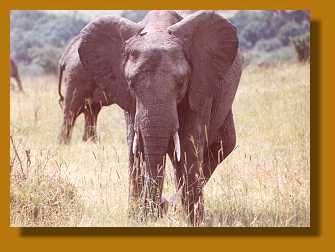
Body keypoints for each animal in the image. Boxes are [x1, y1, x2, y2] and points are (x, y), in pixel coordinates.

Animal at [78, 10, 243, 225]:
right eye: (131, 83)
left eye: (181, 83)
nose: (159, 206)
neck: (158, 28)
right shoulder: (129, 100)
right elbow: (136, 147)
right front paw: (137, 218)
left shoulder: (199, 87)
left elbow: (189, 146)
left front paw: (193, 221)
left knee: (222, 146)